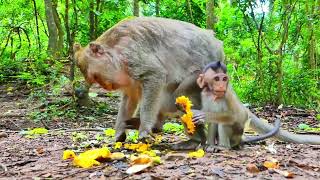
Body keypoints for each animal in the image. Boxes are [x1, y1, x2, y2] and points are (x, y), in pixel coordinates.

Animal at [74, 16, 225, 142]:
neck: (116, 51)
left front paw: (144, 129)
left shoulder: (132, 56)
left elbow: (155, 75)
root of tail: (216, 42)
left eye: (95, 77)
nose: (106, 86)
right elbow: (130, 98)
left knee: (180, 93)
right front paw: (119, 133)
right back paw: (155, 126)